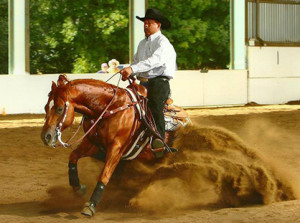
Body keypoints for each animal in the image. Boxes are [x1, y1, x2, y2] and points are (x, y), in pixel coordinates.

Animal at [41, 74, 189, 217]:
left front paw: (90, 205)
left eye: (60, 108)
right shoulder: (93, 144)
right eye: (45, 107)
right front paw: (78, 188)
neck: (111, 108)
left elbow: (104, 175)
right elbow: (73, 157)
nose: (46, 137)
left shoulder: (116, 149)